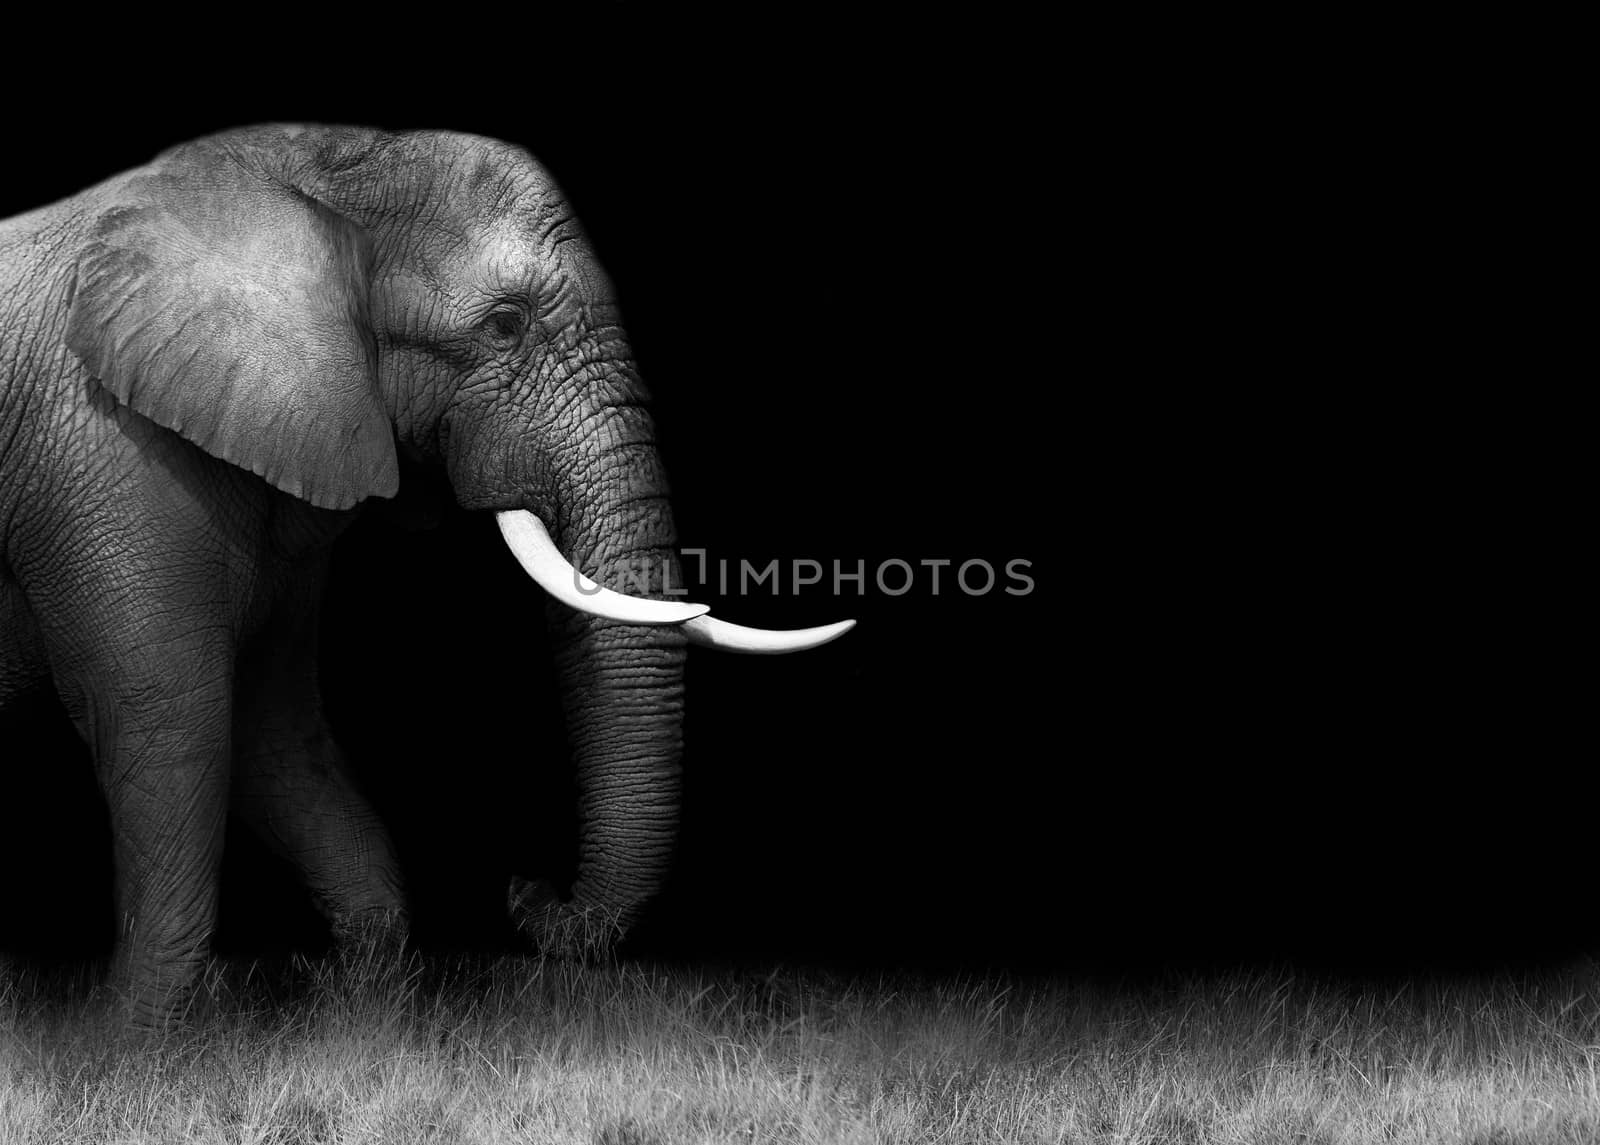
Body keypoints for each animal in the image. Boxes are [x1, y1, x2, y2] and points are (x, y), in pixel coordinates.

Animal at [0, 123, 851, 1017]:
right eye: (507, 324)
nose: (526, 885)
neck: (314, 166)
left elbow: (274, 721)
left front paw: (358, 1006)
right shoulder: (108, 452)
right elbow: (168, 711)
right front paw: (133, 1033)